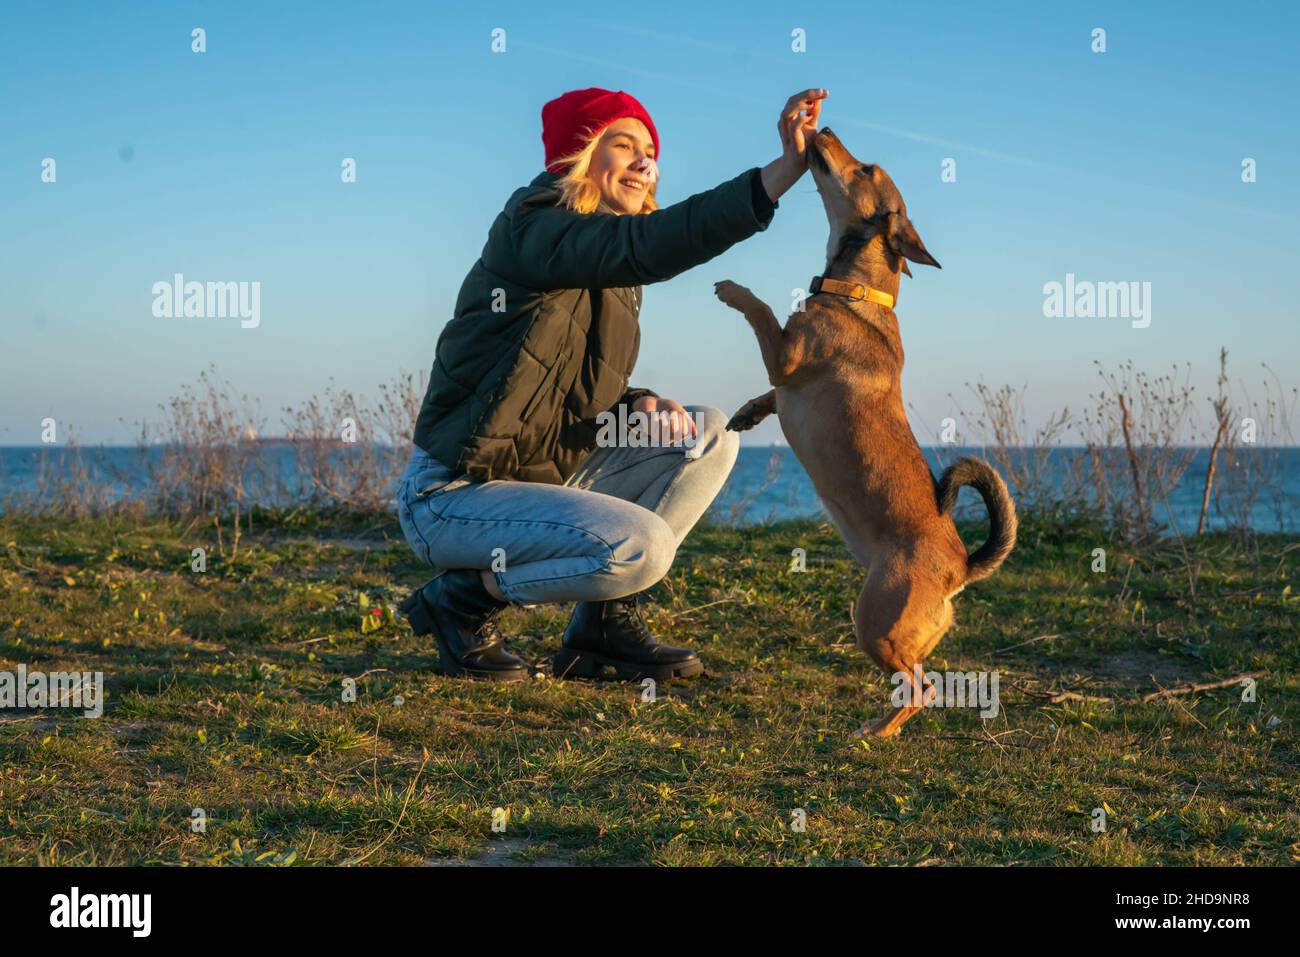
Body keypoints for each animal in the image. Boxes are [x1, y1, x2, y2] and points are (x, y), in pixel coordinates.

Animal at [722, 127, 1013, 738]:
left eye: (866, 169)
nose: (825, 129)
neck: (856, 291)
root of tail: (960, 567)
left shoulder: (785, 357)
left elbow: (762, 312)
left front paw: (733, 287)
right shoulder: (782, 378)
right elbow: (767, 395)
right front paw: (747, 413)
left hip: (872, 622)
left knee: (923, 689)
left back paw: (876, 732)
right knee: (920, 683)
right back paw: (881, 724)